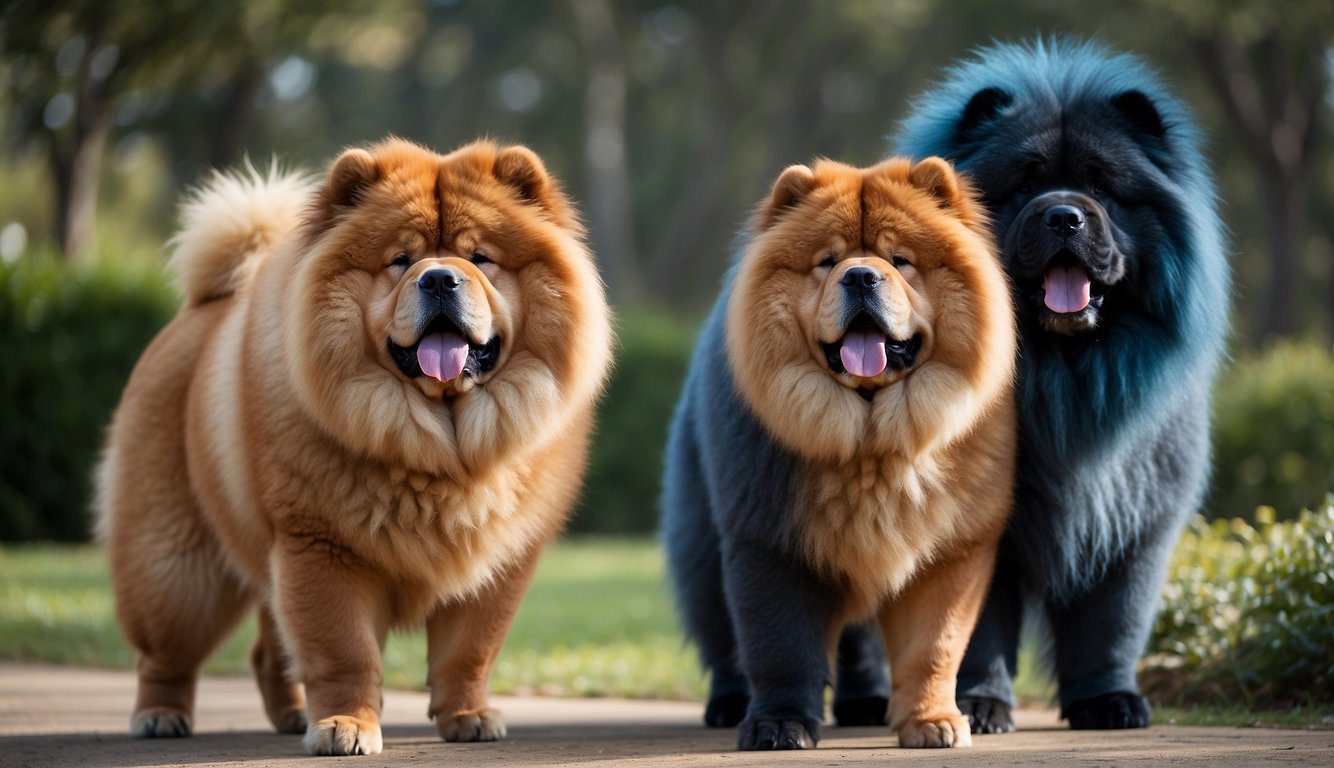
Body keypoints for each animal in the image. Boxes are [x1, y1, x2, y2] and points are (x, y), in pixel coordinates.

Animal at [96, 139, 610, 757]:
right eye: (401, 260)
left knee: (268, 650)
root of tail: (200, 311)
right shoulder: (321, 547)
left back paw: (292, 715)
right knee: (165, 654)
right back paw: (160, 716)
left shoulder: (498, 565)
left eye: (481, 257)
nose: (440, 279)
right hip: (175, 567)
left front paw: (468, 717)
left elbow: (469, 651)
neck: (439, 443)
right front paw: (345, 725)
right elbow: (344, 651)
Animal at [661, 156, 1013, 752]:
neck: (870, 446)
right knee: (722, 638)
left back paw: (864, 705)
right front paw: (778, 726)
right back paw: (729, 704)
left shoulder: (953, 552)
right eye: (827, 261)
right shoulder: (769, 540)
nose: (861, 275)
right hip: (704, 546)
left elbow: (934, 646)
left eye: (900, 260)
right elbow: (778, 647)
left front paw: (932, 722)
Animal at [875, 37, 1227, 730]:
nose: (1064, 216)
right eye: (1026, 185)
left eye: (1101, 188)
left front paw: (1110, 701)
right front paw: (979, 705)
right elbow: (974, 629)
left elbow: (1111, 624)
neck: (1061, 380)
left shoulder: (1134, 519)